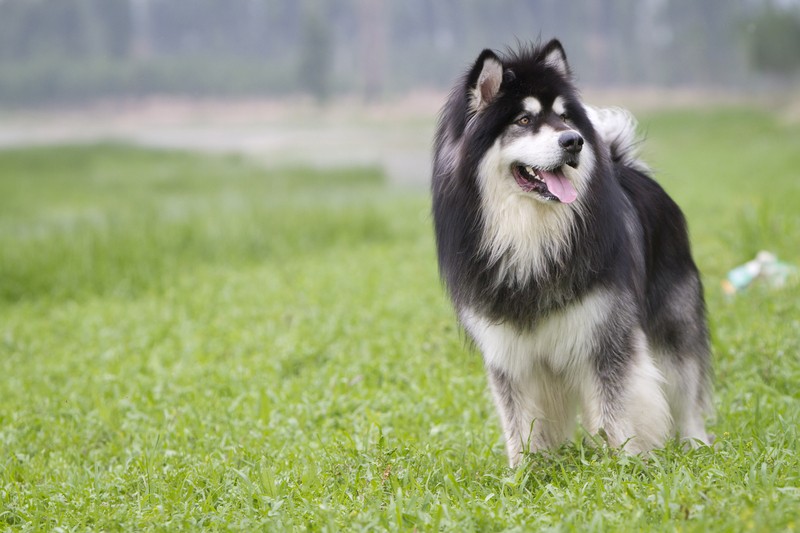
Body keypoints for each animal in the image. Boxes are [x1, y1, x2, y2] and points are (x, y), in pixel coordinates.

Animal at [432, 39, 712, 466]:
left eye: (564, 118)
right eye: (524, 120)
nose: (574, 140)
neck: (531, 234)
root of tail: (627, 167)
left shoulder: (607, 335)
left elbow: (615, 412)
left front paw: (623, 466)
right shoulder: (508, 354)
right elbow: (519, 423)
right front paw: (524, 472)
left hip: (674, 326)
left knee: (688, 392)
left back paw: (697, 444)